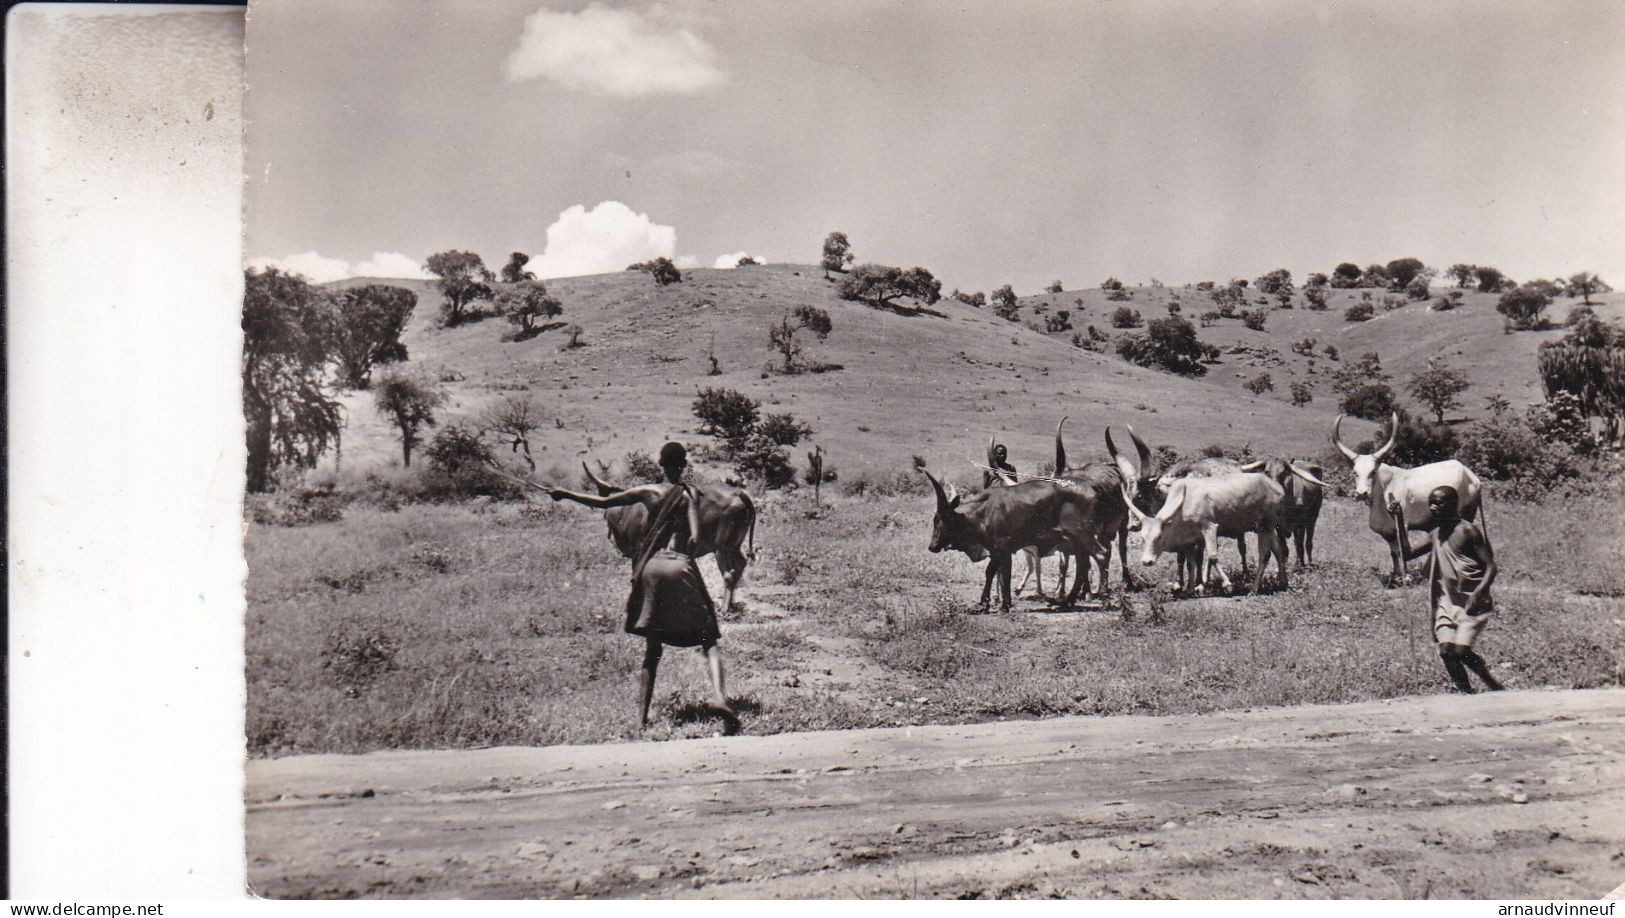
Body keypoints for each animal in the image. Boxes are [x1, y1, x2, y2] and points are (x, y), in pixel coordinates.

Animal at [588, 464, 757, 607]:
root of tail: (738, 493)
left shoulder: (639, 551)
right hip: (734, 545)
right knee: (740, 564)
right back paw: (731, 603)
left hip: (722, 547)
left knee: (729, 574)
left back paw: (724, 608)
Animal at [929, 467, 1118, 610]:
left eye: (940, 520)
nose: (932, 546)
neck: (984, 512)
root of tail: (1092, 485)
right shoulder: (999, 551)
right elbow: (995, 573)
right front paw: (989, 603)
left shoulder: (1002, 548)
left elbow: (1000, 574)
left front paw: (999, 605)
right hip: (1078, 541)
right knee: (1083, 565)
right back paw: (1068, 601)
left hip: (1083, 535)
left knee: (1102, 555)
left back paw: (1104, 599)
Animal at [1332, 412, 1488, 584]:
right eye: (1355, 472)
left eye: (1373, 472)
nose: (1361, 493)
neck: (1381, 493)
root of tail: (1473, 477)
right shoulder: (1388, 533)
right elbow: (1394, 553)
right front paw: (1395, 575)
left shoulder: (1401, 528)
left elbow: (1402, 552)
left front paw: (1404, 577)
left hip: (1467, 514)